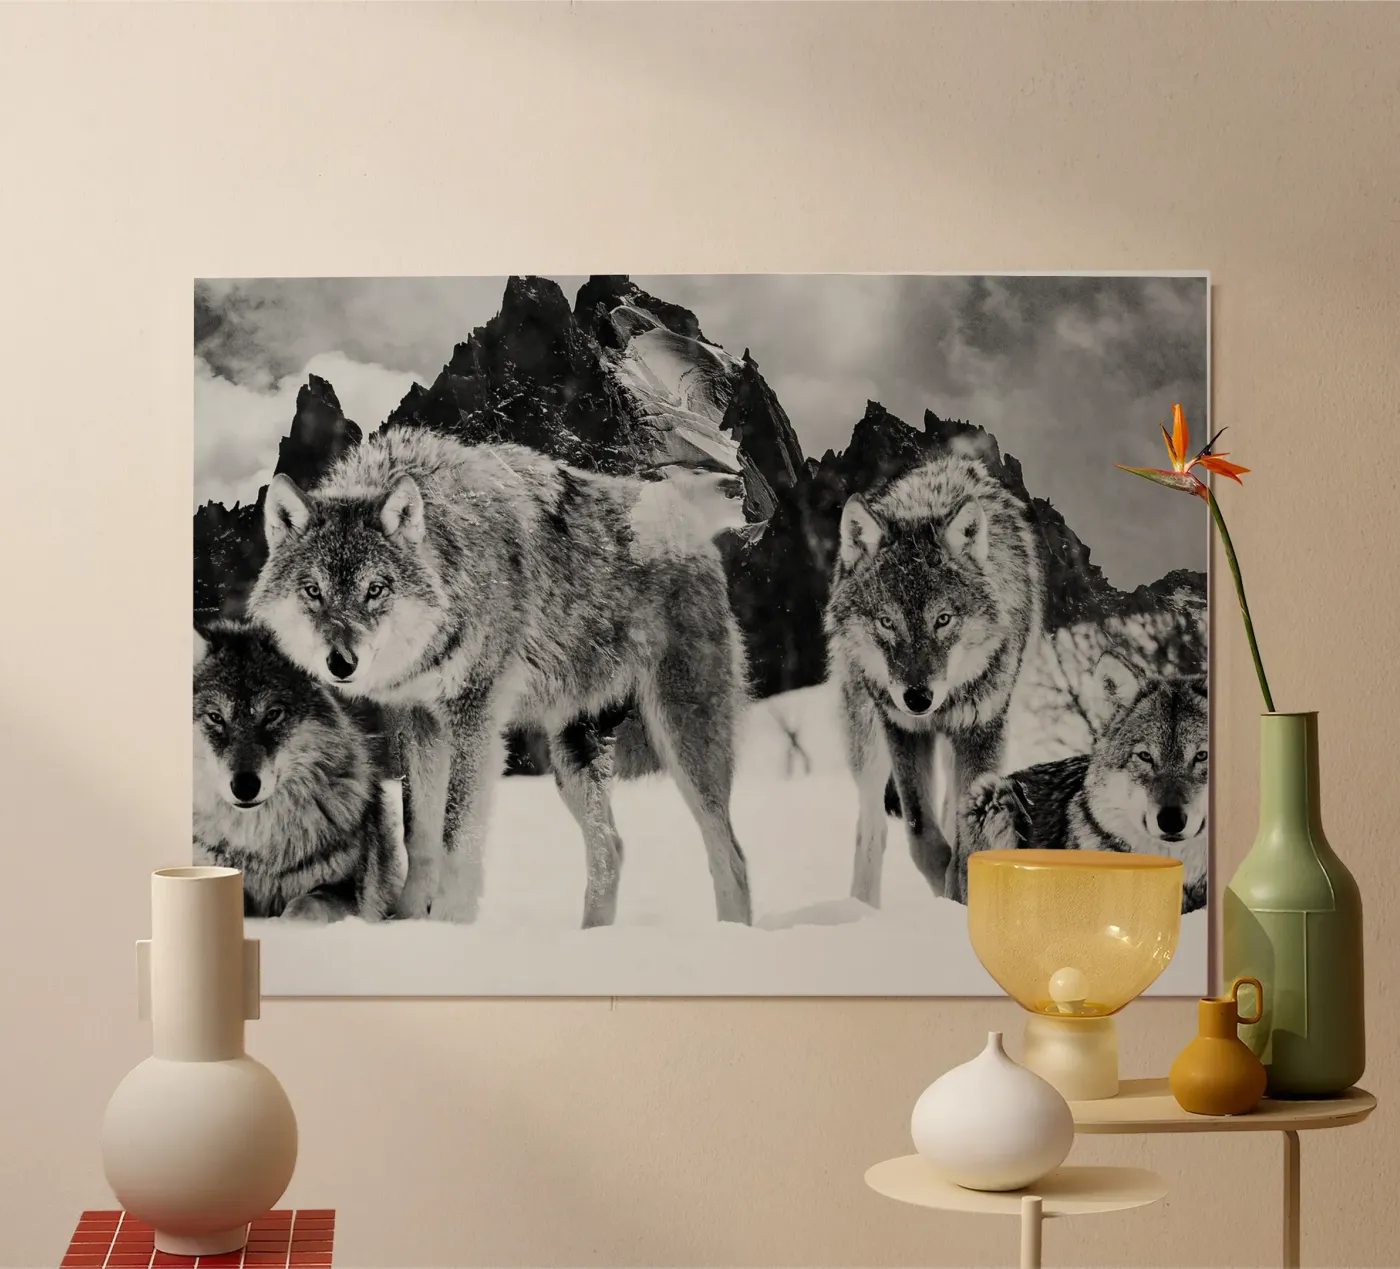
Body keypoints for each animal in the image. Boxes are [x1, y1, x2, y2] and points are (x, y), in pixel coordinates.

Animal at [247, 427, 751, 927]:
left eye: (375, 589)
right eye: (313, 591)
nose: (341, 663)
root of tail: (686, 516)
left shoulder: (475, 715)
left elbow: (456, 834)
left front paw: (448, 923)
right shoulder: (417, 720)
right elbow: (418, 832)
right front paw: (409, 920)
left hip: (681, 736)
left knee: (730, 854)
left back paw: (731, 933)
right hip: (572, 754)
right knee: (611, 848)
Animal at [824, 454, 1044, 906]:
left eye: (942, 620)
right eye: (886, 622)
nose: (918, 698)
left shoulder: (982, 730)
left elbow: (966, 840)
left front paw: (958, 891)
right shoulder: (903, 729)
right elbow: (920, 833)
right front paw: (942, 885)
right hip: (866, 736)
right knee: (872, 827)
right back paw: (862, 907)